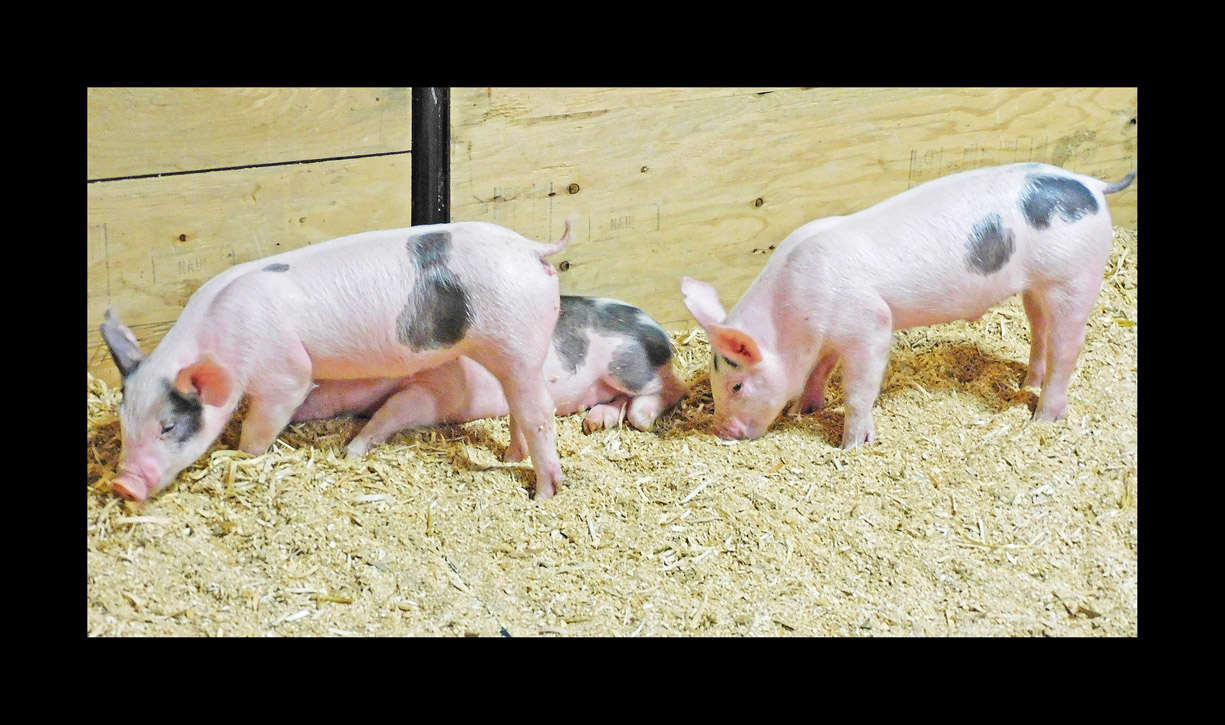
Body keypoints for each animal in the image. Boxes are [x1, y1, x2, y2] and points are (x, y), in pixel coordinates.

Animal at [100, 219, 577, 501]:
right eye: (123, 421)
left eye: (168, 426)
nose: (123, 485)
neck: (223, 337)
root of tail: (531, 249)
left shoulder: (285, 373)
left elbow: (263, 423)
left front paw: (244, 455)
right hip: (511, 352)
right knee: (517, 405)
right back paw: (513, 457)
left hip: (518, 339)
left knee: (539, 412)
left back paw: (543, 494)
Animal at [291, 295, 689, 456]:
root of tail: (658, 332)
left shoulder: (434, 391)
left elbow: (391, 411)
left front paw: (351, 451)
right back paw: (594, 422)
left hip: (628, 366)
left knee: (673, 390)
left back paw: (643, 416)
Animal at [681, 162, 1136, 446]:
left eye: (737, 385)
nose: (721, 431)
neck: (792, 313)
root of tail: (1091, 185)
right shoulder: (831, 333)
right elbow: (820, 371)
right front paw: (805, 409)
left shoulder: (869, 325)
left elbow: (858, 391)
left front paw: (851, 446)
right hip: (1036, 287)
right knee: (1040, 330)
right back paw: (1027, 385)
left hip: (1073, 277)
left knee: (1067, 347)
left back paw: (1042, 418)